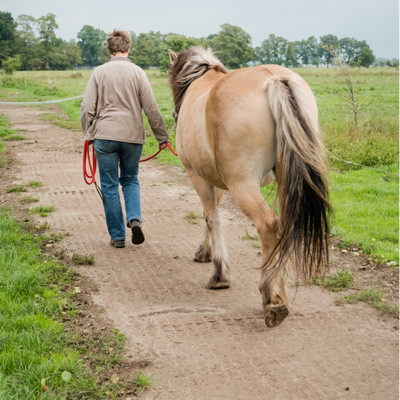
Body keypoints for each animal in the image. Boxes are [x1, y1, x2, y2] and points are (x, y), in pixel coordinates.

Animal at [167, 47, 330, 328]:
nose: (175, 117)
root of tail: (275, 79)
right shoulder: (217, 181)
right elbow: (211, 215)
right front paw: (205, 252)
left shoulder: (199, 177)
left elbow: (212, 218)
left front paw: (219, 275)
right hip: (285, 180)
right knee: (285, 227)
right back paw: (281, 294)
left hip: (242, 185)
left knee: (269, 225)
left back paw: (271, 299)